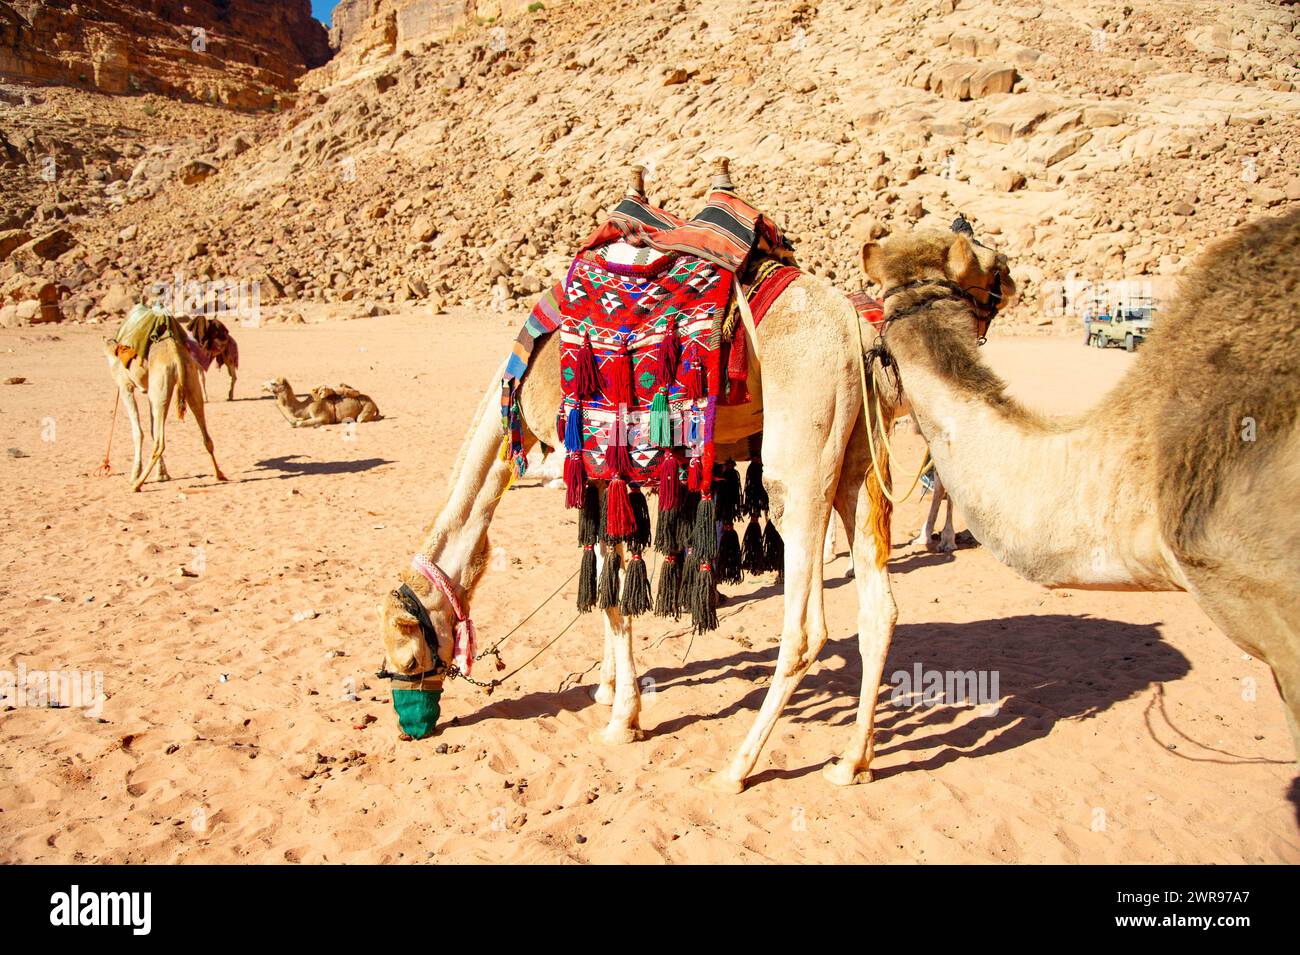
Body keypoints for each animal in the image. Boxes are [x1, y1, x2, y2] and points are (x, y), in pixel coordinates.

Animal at [104, 320, 227, 493]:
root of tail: (176, 356)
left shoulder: (125, 385)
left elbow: (138, 431)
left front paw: (136, 474)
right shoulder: (149, 391)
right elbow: (151, 430)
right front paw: (162, 474)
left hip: (161, 388)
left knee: (159, 443)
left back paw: (137, 484)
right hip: (187, 381)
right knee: (206, 436)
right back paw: (219, 475)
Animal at [378, 167, 909, 792]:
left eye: (409, 658)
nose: (411, 728)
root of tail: (858, 331)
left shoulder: (590, 461)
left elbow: (611, 597)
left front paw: (621, 720)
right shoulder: (609, 475)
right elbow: (607, 583)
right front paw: (607, 690)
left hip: (800, 465)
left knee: (806, 632)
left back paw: (736, 768)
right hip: (859, 460)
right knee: (879, 610)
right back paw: (852, 762)